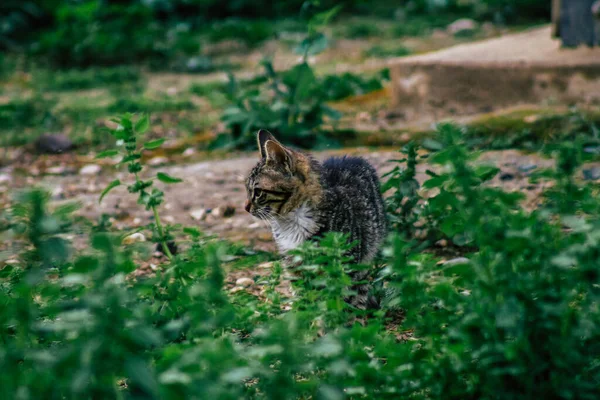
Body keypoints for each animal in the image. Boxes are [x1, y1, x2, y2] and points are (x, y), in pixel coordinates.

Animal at [245, 130, 390, 308]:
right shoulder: (295, 266)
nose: (245, 207)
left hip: (365, 256)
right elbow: (306, 298)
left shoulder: (346, 262)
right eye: (247, 190)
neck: (291, 221)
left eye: (258, 192)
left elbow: (340, 298)